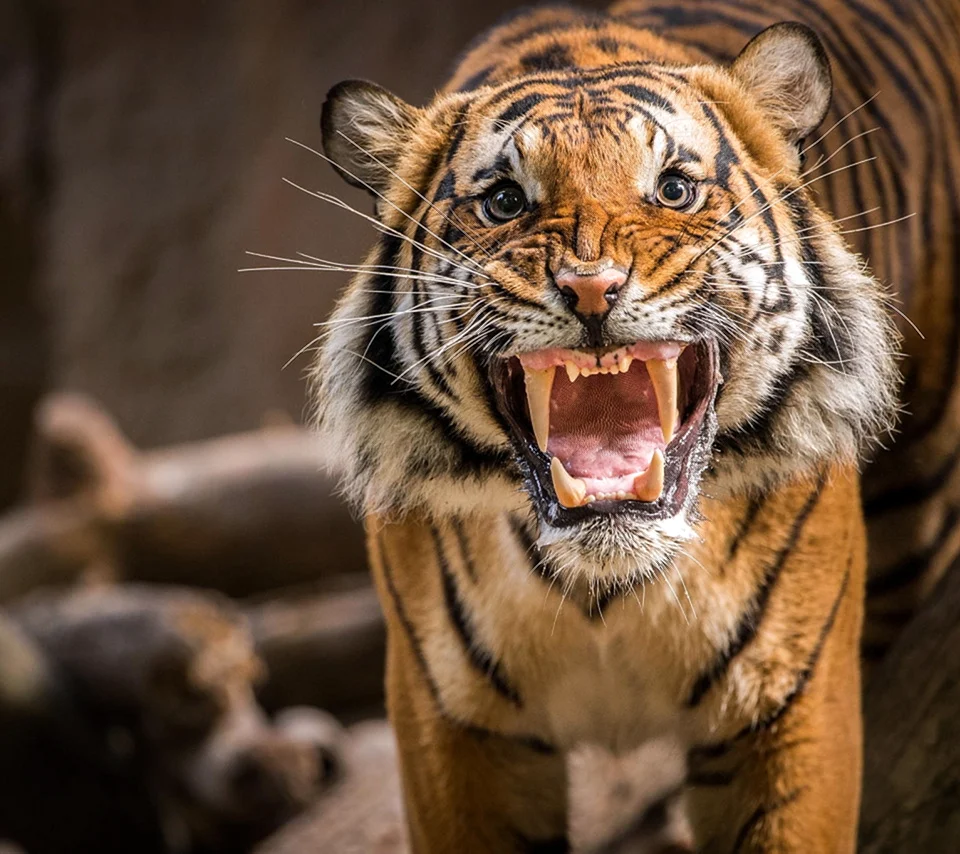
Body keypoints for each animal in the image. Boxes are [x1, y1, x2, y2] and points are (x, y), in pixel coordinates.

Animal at [306, 0, 959, 850]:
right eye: (505, 201)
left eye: (673, 189)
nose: (592, 287)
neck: (604, 585)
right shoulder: (450, 725)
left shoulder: (791, 704)